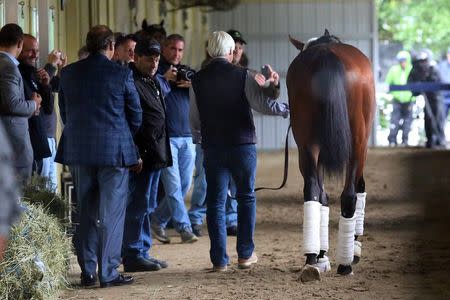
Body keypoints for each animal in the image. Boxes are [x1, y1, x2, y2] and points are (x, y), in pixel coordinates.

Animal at [288, 29, 376, 280]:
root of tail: (326, 54)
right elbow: (359, 187)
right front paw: (354, 249)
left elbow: (323, 196)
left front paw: (321, 256)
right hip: (357, 142)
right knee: (350, 195)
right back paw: (345, 263)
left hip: (306, 144)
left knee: (313, 191)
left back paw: (311, 258)